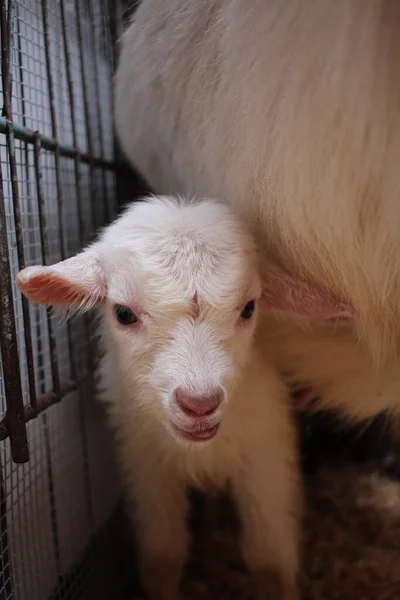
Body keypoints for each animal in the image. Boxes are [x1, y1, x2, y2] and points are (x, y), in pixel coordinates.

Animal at [16, 196, 354, 596]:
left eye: (249, 308)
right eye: (123, 313)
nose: (199, 403)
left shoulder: (266, 453)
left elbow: (270, 561)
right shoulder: (145, 462)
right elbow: (164, 556)